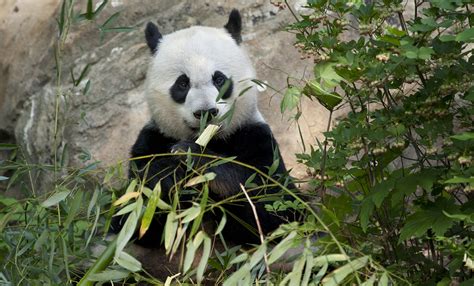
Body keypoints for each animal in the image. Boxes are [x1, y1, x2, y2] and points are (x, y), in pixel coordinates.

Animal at [122, 9, 298, 248]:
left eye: (219, 79)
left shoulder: (254, 135)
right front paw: (167, 173)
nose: (205, 112)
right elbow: (135, 216)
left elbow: (275, 205)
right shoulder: (152, 139)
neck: (212, 139)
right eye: (182, 84)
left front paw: (191, 154)